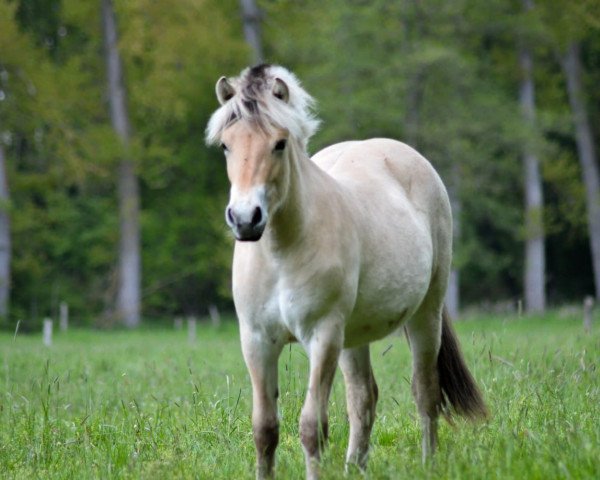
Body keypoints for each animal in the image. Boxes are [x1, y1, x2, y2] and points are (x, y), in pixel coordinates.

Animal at [206, 64, 488, 480]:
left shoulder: (322, 336)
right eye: (226, 145)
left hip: (425, 314)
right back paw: (356, 467)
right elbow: (265, 430)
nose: (245, 219)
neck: (281, 252)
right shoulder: (256, 341)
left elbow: (312, 428)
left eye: (279, 143)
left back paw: (428, 462)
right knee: (363, 397)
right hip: (354, 337)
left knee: (426, 391)